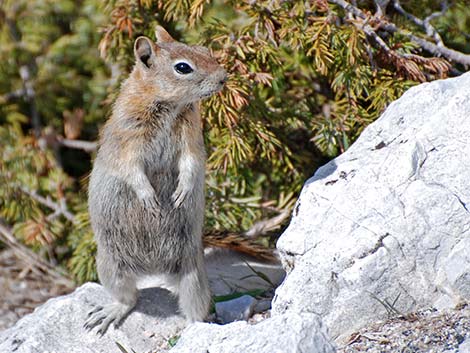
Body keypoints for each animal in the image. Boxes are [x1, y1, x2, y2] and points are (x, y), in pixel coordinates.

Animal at [86, 26, 229, 332]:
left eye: (204, 50)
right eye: (183, 67)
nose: (224, 77)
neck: (169, 106)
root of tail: (155, 270)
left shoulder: (191, 139)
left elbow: (191, 163)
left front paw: (182, 192)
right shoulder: (128, 140)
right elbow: (132, 171)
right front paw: (149, 198)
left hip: (193, 274)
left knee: (194, 308)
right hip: (111, 266)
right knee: (129, 298)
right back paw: (109, 313)